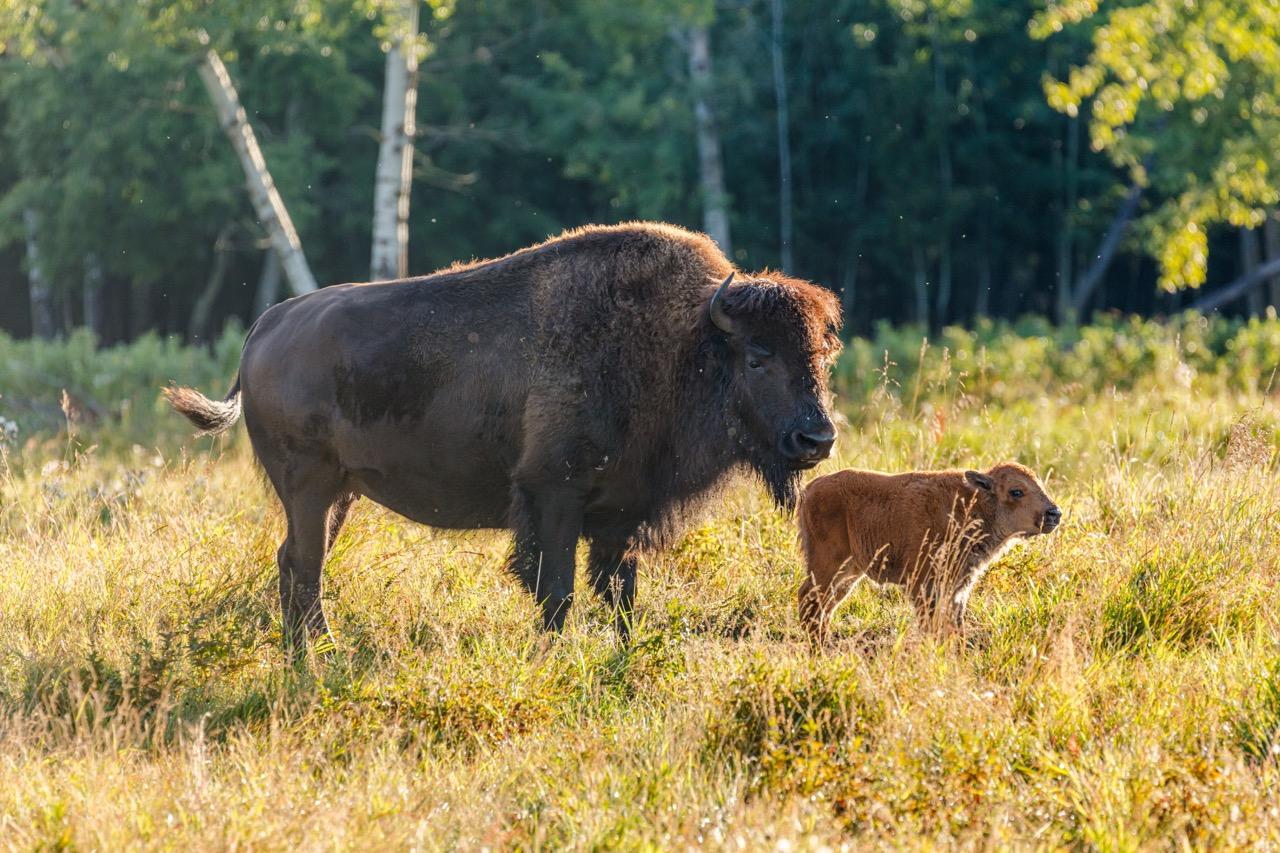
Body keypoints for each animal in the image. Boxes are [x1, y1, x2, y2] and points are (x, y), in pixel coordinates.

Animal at [165, 222, 843, 649]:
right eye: (757, 356)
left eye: (819, 354)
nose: (817, 440)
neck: (684, 342)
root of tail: (263, 329)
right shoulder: (553, 497)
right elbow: (557, 592)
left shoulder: (623, 511)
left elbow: (621, 595)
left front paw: (624, 657)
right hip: (310, 487)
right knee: (305, 567)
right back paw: (316, 657)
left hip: (341, 494)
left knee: (295, 563)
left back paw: (304, 654)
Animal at [796, 462, 1060, 643]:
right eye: (1017, 491)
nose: (1054, 513)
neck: (974, 505)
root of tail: (809, 489)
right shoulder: (923, 586)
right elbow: (933, 625)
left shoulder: (957, 587)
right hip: (828, 564)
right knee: (810, 600)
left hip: (849, 571)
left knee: (826, 605)